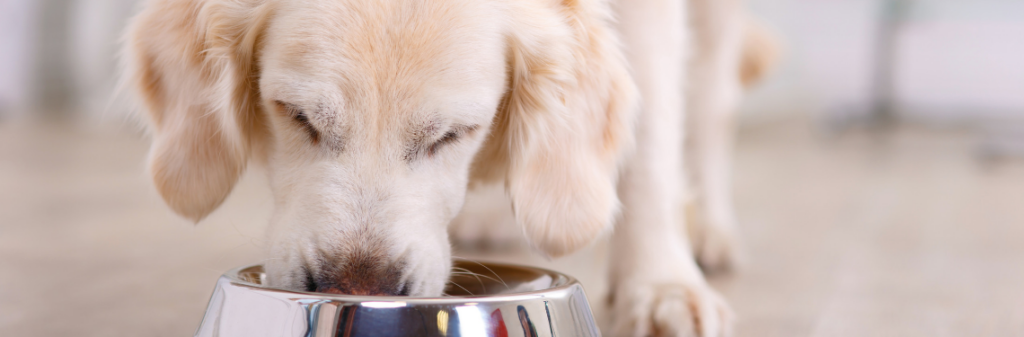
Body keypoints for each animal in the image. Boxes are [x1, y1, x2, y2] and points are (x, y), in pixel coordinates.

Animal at [123, 0, 770, 333]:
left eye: (453, 134)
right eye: (297, 115)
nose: (359, 290)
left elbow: (653, 137)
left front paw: (660, 286)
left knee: (712, 99)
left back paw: (709, 231)